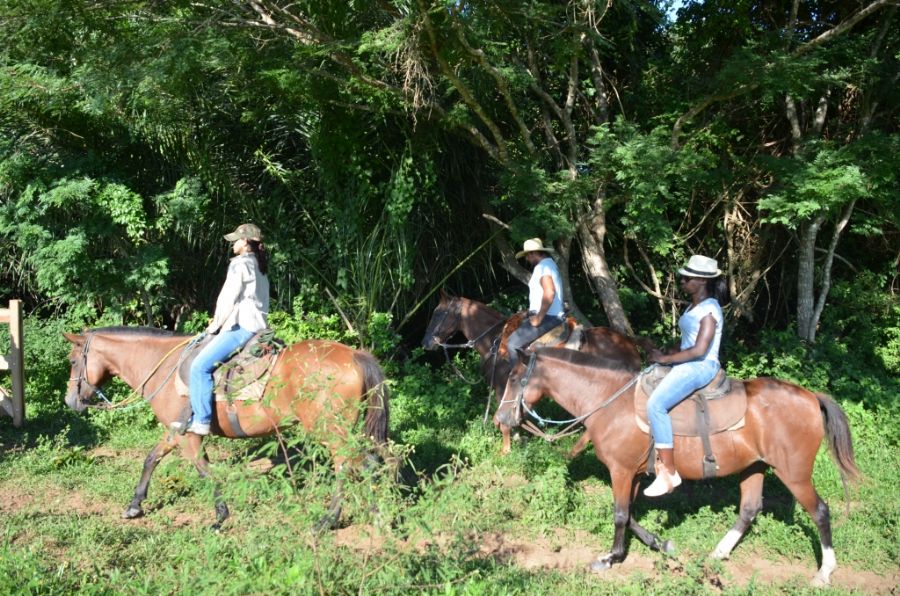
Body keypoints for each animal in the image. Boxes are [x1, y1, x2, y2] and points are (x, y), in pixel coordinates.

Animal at [62, 328, 386, 528]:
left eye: (74, 360)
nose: (69, 401)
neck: (164, 368)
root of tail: (354, 355)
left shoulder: (187, 437)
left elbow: (205, 471)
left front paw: (220, 515)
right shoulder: (176, 431)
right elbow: (151, 459)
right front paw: (134, 505)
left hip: (330, 431)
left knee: (350, 465)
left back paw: (330, 520)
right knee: (367, 463)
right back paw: (373, 512)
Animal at [424, 292, 648, 454]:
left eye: (438, 313)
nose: (425, 343)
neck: (495, 341)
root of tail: (630, 343)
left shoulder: (505, 386)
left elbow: (504, 418)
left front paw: (506, 450)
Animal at [496, 346, 860, 584]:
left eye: (514, 378)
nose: (501, 419)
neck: (610, 401)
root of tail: (811, 397)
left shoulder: (621, 471)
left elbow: (620, 515)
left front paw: (610, 557)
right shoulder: (634, 473)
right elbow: (630, 515)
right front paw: (662, 543)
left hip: (794, 474)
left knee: (820, 511)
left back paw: (825, 572)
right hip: (754, 467)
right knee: (749, 509)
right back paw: (719, 553)